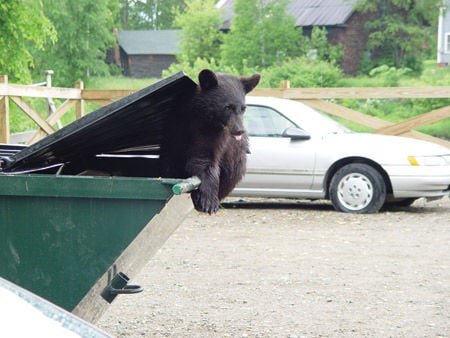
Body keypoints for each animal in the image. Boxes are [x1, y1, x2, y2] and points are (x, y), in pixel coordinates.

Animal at [161, 68, 260, 214]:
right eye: (227, 107)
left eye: (243, 108)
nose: (240, 131)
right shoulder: (181, 127)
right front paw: (208, 201)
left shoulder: (214, 135)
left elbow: (204, 156)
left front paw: (208, 201)